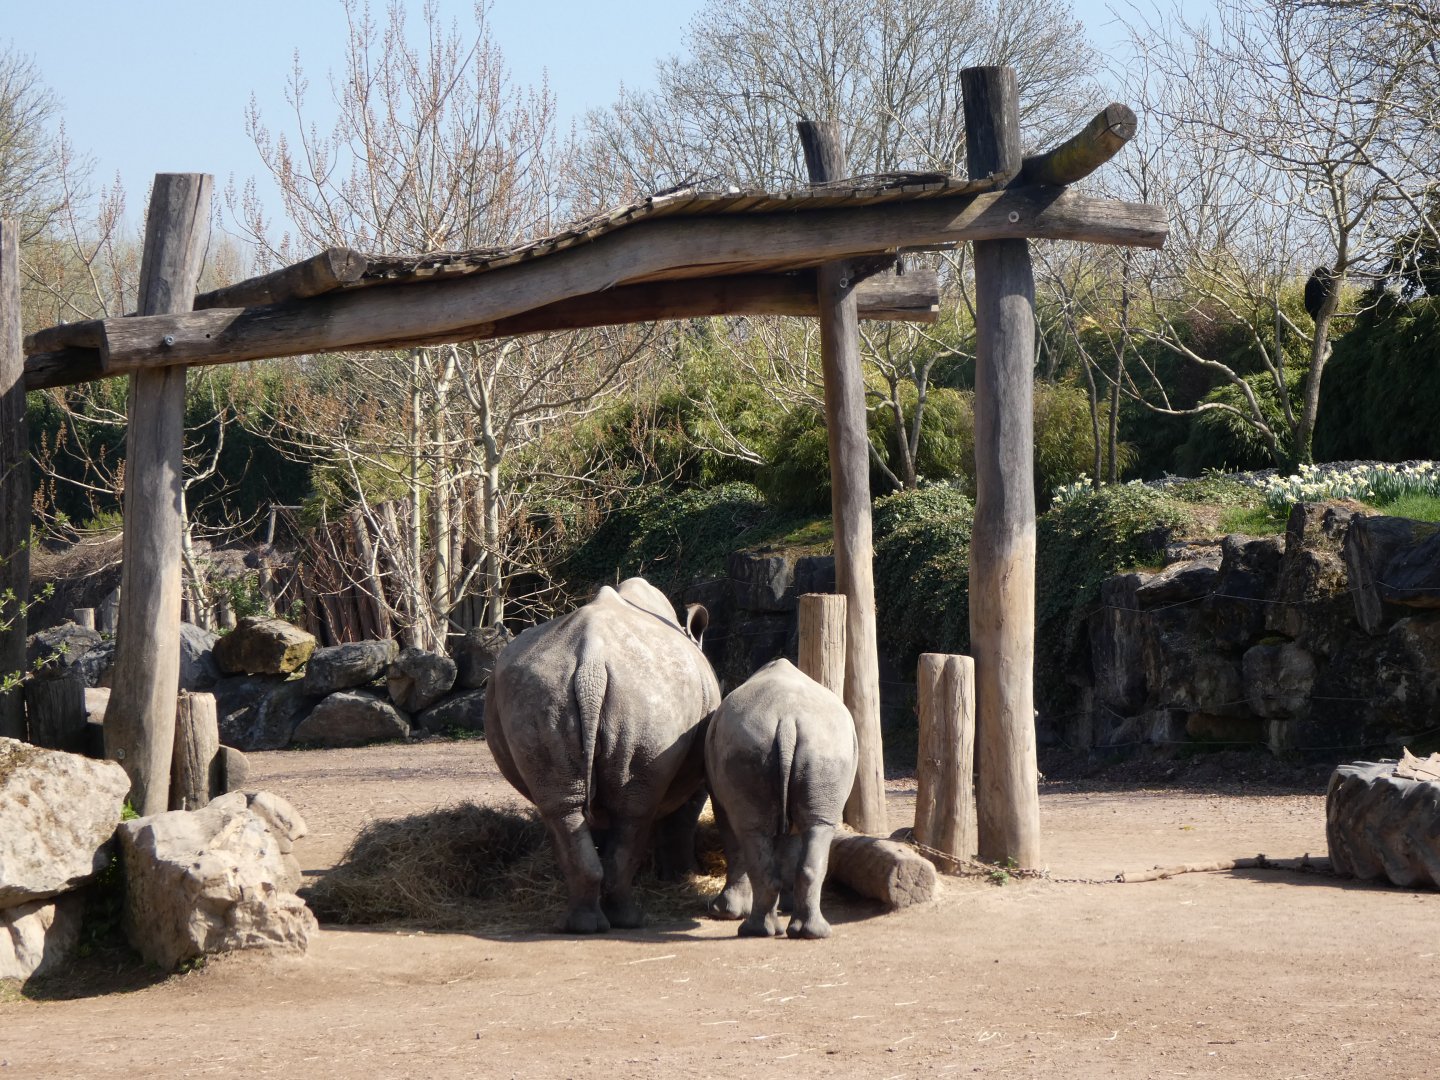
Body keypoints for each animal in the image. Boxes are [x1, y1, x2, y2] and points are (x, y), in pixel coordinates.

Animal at [484, 578, 720, 933]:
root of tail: (591, 662)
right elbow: (682, 818)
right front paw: (682, 875)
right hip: (647, 695)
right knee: (633, 812)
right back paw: (630, 920)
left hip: (538, 690)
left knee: (565, 807)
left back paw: (581, 924)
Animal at [706, 658, 858, 939]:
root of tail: (787, 718)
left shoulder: (720, 800)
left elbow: (736, 843)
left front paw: (724, 912)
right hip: (824, 746)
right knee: (818, 826)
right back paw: (809, 933)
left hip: (757, 743)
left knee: (752, 831)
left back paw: (756, 930)